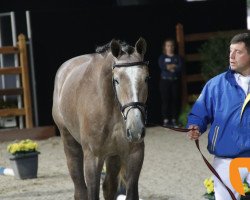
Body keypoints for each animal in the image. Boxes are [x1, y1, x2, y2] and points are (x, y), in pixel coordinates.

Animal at [52, 38, 148, 200]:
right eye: (116, 80)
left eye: (147, 78)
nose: (136, 130)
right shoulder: (93, 159)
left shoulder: (135, 155)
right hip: (70, 143)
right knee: (80, 190)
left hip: (114, 156)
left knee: (109, 187)